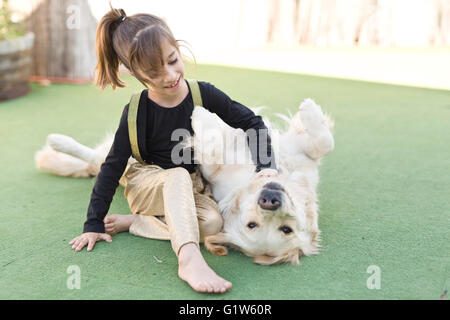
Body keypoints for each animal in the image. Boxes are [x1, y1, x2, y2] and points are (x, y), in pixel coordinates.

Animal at [35, 99, 334, 266]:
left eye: (285, 229)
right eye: (253, 224)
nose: (269, 200)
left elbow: (211, 142)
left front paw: (200, 114)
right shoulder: (297, 155)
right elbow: (323, 143)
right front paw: (311, 111)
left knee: (100, 163)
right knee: (101, 159)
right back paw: (58, 141)